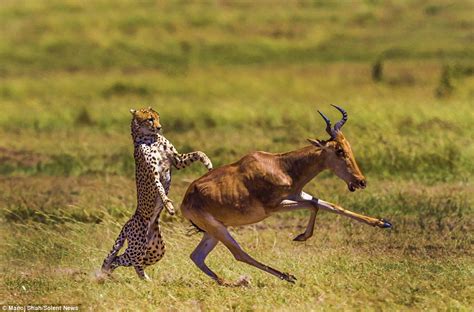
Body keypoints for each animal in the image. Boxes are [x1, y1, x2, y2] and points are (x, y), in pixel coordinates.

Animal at [102, 107, 213, 280]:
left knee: (128, 260)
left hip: (156, 249)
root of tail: (129, 221)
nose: (160, 127)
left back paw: (138, 279)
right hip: (138, 246)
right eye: (150, 119)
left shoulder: (177, 160)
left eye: (157, 117)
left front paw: (208, 161)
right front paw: (169, 206)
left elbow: (197, 153)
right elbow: (160, 189)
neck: (150, 137)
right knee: (120, 259)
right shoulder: (154, 174)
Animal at [180, 106, 390, 286]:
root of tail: (186, 200)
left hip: (213, 231)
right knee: (239, 254)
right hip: (218, 229)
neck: (280, 165)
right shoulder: (274, 207)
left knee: (197, 257)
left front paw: (382, 223)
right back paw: (285, 277)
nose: (361, 181)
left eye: (348, 147)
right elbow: (314, 206)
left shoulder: (298, 194)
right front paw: (301, 237)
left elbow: (330, 205)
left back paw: (234, 283)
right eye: (339, 150)